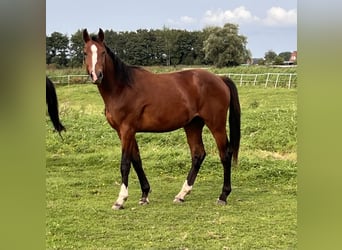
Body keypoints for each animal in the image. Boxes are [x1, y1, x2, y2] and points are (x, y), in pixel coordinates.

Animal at [82, 28, 240, 210]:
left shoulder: (126, 129)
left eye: (102, 52)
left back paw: (223, 195)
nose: (97, 75)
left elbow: (125, 163)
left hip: (216, 124)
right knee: (198, 154)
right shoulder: (125, 132)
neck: (122, 88)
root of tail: (220, 79)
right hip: (193, 125)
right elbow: (137, 160)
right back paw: (181, 194)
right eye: (85, 52)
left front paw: (120, 199)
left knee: (225, 154)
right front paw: (144, 195)